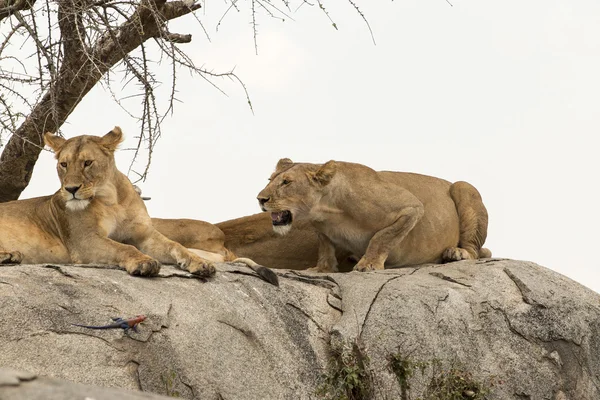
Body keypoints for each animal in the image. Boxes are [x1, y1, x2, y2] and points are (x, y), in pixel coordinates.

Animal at [0, 128, 218, 278]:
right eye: (64, 164)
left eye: (87, 163)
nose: (71, 189)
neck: (111, 201)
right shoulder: (84, 240)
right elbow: (124, 248)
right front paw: (144, 262)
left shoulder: (144, 235)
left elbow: (176, 245)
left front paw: (201, 263)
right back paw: (8, 255)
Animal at [255, 158, 490, 274]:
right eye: (270, 179)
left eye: (286, 182)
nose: (260, 199)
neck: (326, 212)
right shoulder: (323, 230)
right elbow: (325, 247)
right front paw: (322, 268)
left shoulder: (411, 206)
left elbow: (382, 237)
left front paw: (368, 264)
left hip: (463, 187)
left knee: (474, 251)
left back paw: (456, 253)